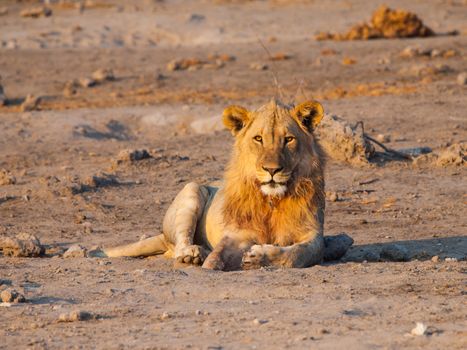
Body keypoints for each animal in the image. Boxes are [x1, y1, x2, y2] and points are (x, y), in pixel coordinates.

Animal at [101, 100, 352, 270]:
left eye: (288, 139)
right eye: (258, 139)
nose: (272, 170)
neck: (271, 201)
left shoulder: (312, 234)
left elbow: (297, 254)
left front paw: (259, 256)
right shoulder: (237, 233)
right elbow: (218, 254)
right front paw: (210, 264)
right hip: (192, 190)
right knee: (180, 244)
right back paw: (194, 253)